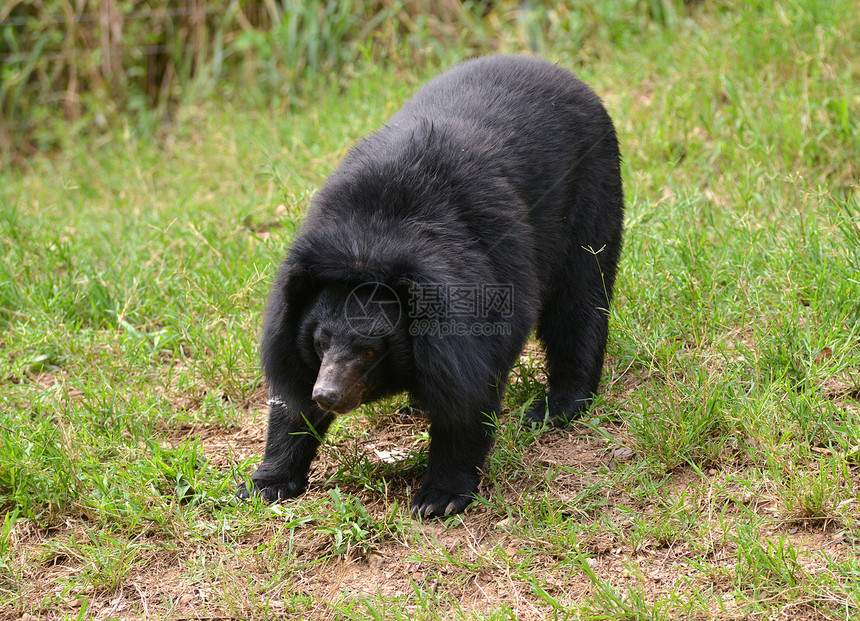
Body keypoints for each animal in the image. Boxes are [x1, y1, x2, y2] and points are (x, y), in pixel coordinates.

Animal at [239, 55, 620, 516]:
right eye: (320, 342)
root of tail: (560, 70)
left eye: (370, 350)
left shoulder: (478, 294)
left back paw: (557, 407)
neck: (366, 247)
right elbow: (290, 399)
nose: (328, 395)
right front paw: (265, 484)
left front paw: (438, 498)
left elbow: (468, 390)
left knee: (580, 297)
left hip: (591, 190)